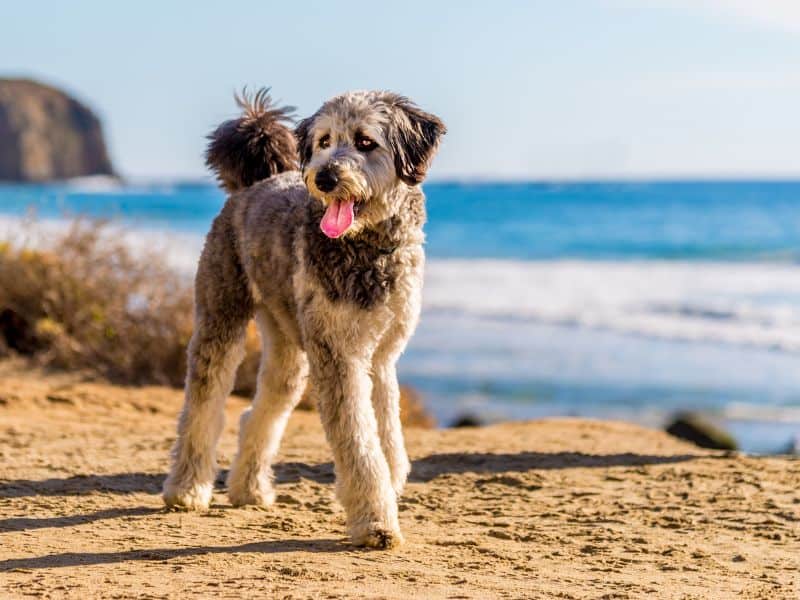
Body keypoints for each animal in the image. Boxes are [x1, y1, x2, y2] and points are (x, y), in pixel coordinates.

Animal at [162, 89, 444, 548]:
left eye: (365, 142)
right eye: (325, 140)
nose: (324, 177)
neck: (366, 248)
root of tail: (253, 184)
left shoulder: (381, 357)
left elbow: (387, 435)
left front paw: (388, 485)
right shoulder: (339, 357)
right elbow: (360, 444)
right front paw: (375, 521)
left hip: (288, 346)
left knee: (260, 411)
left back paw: (249, 488)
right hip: (221, 318)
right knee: (203, 407)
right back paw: (186, 488)